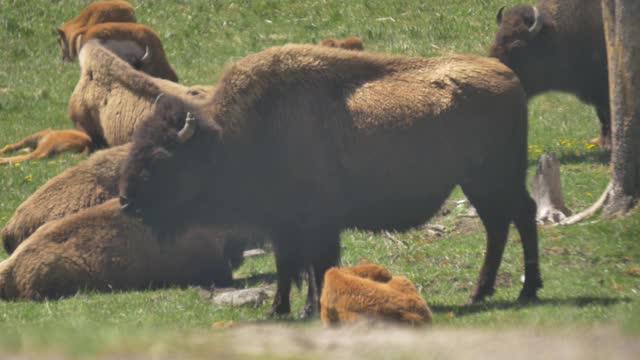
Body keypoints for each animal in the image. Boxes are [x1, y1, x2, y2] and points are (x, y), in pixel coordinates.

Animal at [119, 43, 540, 316]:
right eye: (136, 144)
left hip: (494, 179)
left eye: (160, 158)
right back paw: (481, 294)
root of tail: (508, 76)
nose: (125, 202)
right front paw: (287, 309)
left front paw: (299, 309)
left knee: (520, 216)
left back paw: (525, 291)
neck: (234, 136)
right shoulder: (285, 225)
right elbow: (295, 266)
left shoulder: (311, 224)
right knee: (500, 224)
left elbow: (312, 265)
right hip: (480, 184)